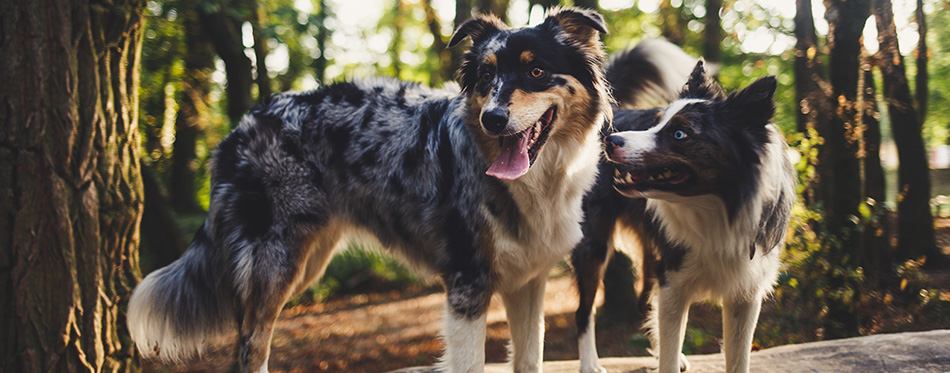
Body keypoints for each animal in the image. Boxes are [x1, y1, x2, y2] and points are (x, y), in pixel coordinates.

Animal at [572, 61, 796, 372]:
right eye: (656, 122)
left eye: (680, 134)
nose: (610, 141)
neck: (717, 212)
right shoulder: (673, 283)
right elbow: (669, 343)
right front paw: (667, 358)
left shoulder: (746, 293)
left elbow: (738, 359)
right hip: (594, 248)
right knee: (584, 311)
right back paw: (590, 363)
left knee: (644, 302)